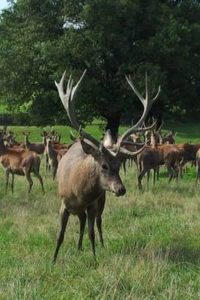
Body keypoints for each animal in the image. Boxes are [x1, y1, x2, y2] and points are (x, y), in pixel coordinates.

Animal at [52, 70, 159, 262]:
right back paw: (78, 247)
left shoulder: (92, 205)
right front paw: (53, 260)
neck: (79, 192)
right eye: (104, 166)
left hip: (101, 200)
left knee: (97, 222)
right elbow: (60, 235)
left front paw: (95, 258)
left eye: (119, 165)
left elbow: (92, 233)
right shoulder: (63, 204)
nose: (121, 189)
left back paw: (98, 245)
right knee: (81, 222)